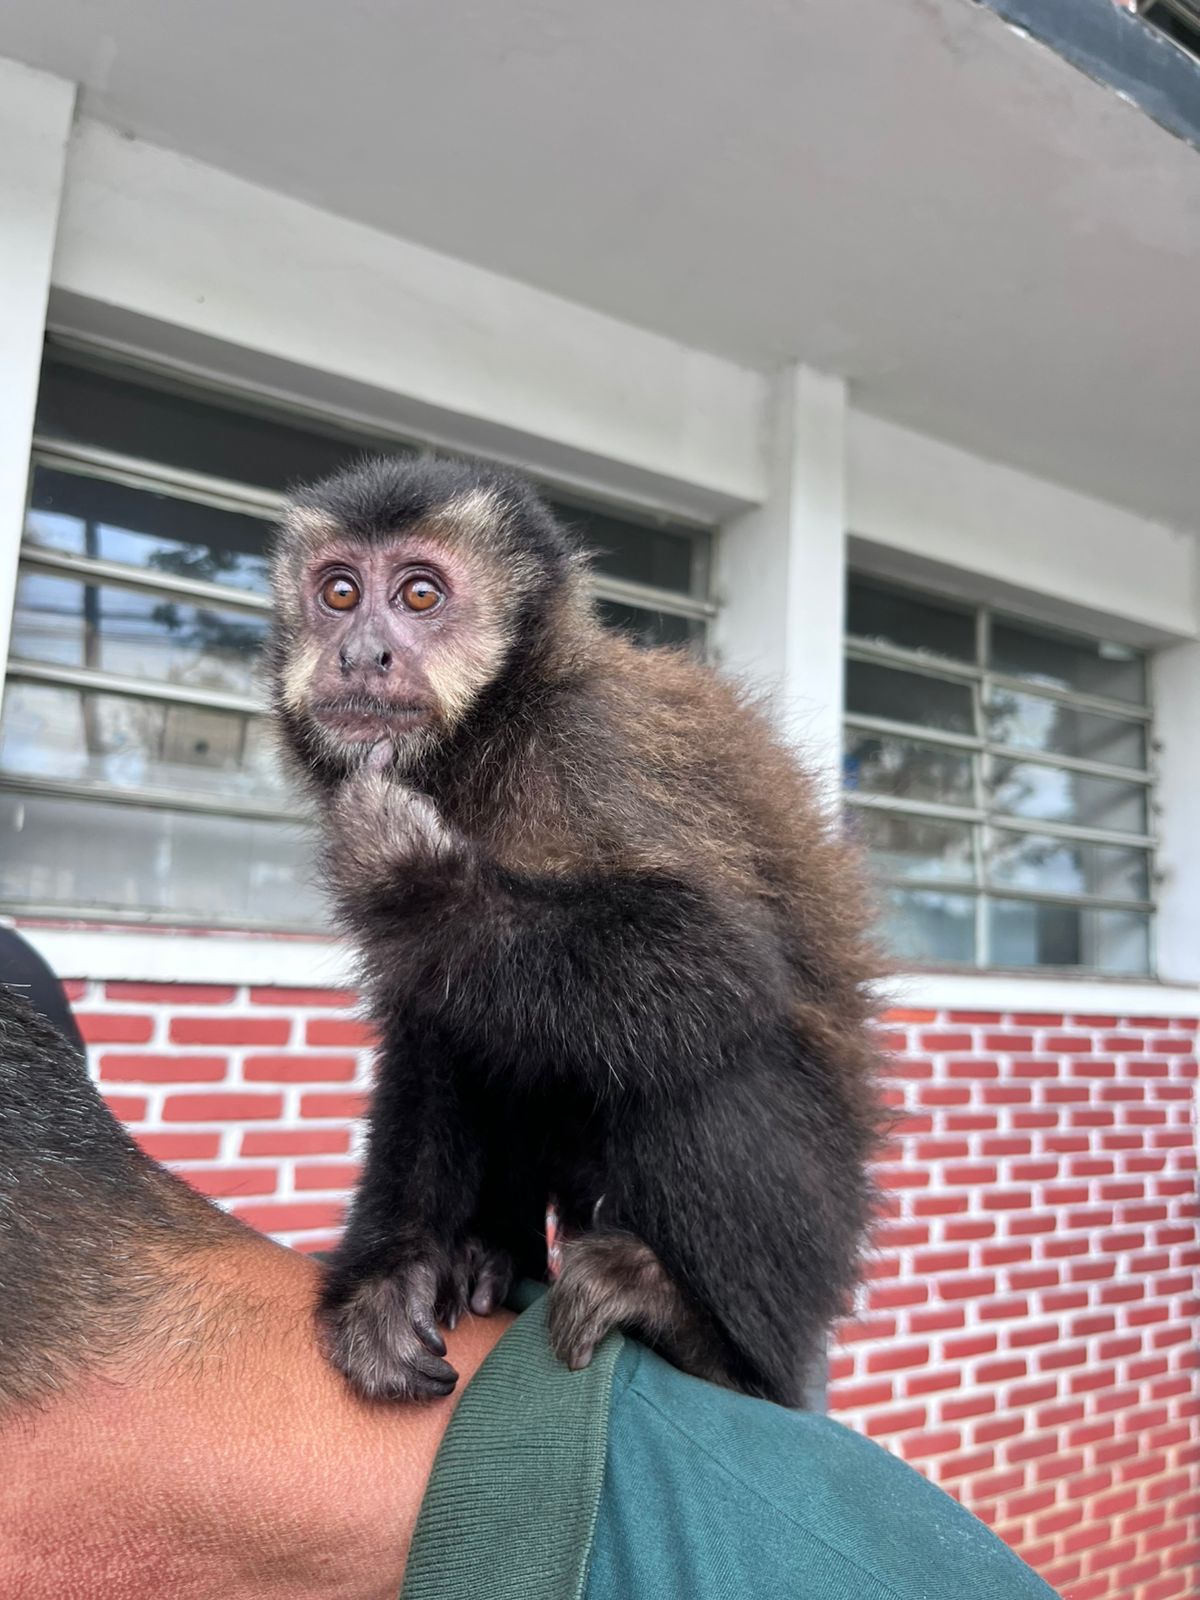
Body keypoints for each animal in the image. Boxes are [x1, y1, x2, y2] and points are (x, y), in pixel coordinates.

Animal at [268, 455, 885, 1408]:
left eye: (417, 595)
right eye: (339, 592)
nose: (360, 653)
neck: (493, 734)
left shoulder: (587, 753)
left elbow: (718, 959)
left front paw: (418, 885)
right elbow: (431, 1031)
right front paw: (389, 1276)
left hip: (811, 1235)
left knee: (706, 1050)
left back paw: (709, 1342)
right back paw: (494, 1253)